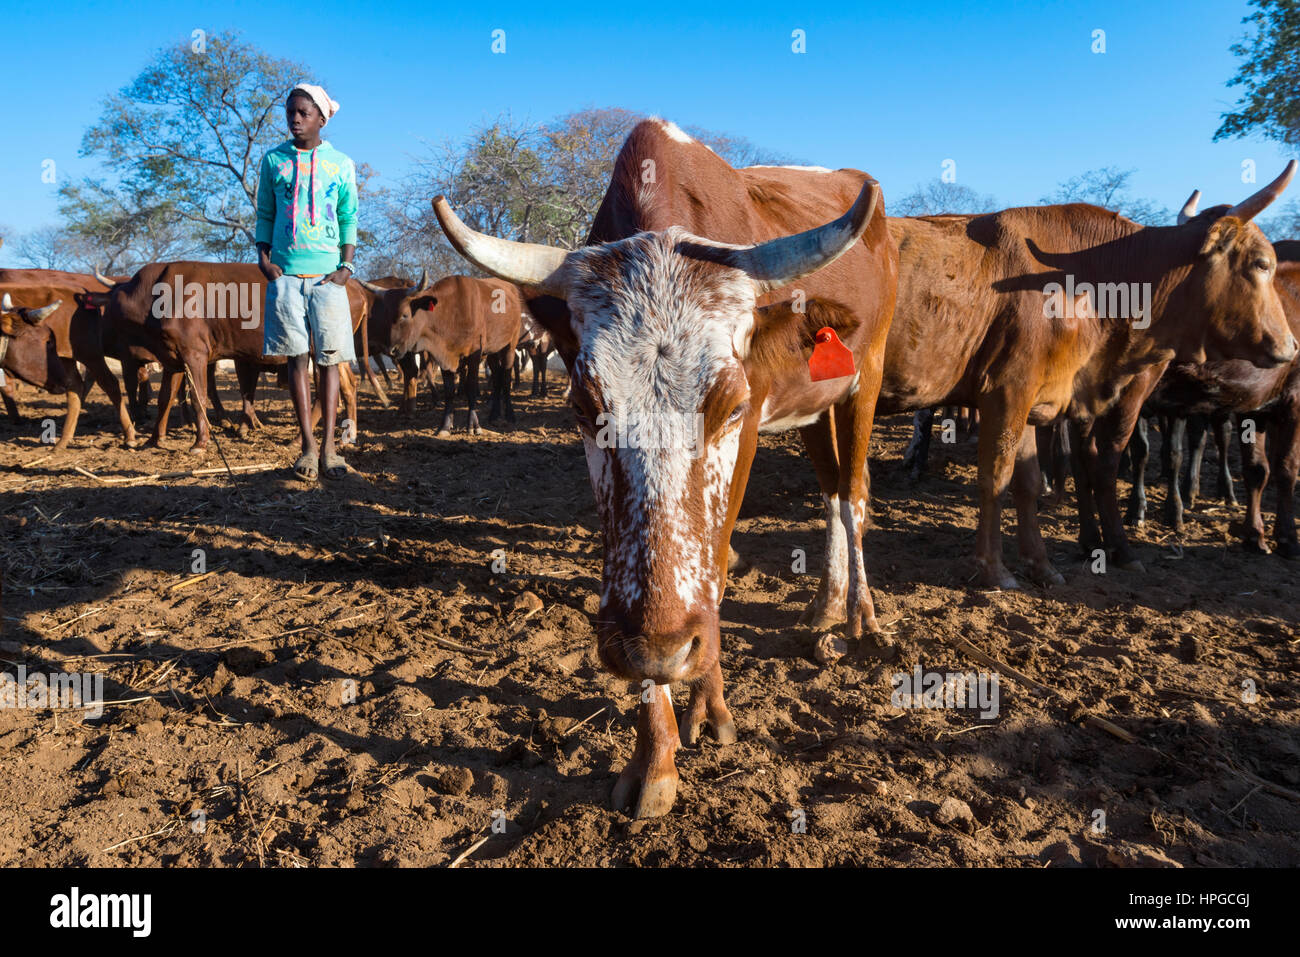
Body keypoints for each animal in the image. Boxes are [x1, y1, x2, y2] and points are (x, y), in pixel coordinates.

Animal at [387, 269, 525, 434]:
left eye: (405, 315)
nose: (392, 350)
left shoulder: (474, 355)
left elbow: (471, 387)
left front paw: (473, 425)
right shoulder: (444, 358)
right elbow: (449, 391)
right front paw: (445, 426)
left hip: (510, 346)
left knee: (505, 378)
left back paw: (510, 415)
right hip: (492, 352)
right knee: (497, 378)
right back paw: (494, 415)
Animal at [426, 117, 894, 816]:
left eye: (730, 404)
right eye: (585, 406)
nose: (659, 643)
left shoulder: (748, 434)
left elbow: (718, 563)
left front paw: (709, 702)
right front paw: (656, 756)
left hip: (866, 380)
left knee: (854, 493)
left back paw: (859, 613)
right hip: (815, 409)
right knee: (832, 490)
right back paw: (824, 605)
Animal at [878, 162, 1294, 590]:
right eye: (1261, 263)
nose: (1291, 346)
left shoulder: (1033, 400)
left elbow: (1028, 481)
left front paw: (1041, 565)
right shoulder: (1007, 393)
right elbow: (997, 477)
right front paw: (993, 569)